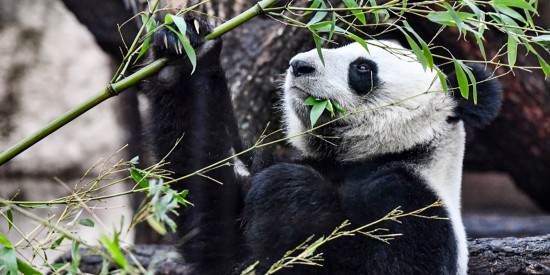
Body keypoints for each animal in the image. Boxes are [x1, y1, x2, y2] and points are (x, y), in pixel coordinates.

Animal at [142, 16, 504, 274]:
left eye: (362, 67)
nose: (299, 65)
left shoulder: (416, 204)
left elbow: (389, 262)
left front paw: (288, 191)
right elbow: (209, 214)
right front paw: (185, 46)